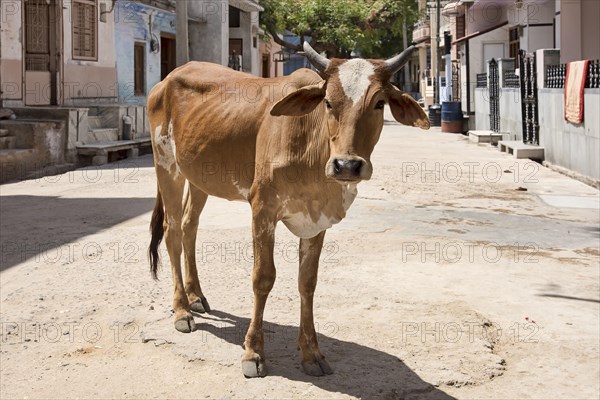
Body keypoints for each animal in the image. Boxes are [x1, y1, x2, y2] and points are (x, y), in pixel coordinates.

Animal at [146, 43, 426, 378]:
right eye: (328, 102)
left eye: (380, 103)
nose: (347, 165)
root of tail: (167, 79)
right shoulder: (262, 210)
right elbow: (263, 277)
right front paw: (253, 352)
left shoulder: (317, 221)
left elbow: (308, 283)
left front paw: (311, 353)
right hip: (166, 165)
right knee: (172, 232)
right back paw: (181, 310)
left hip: (198, 176)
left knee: (189, 227)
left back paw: (196, 296)